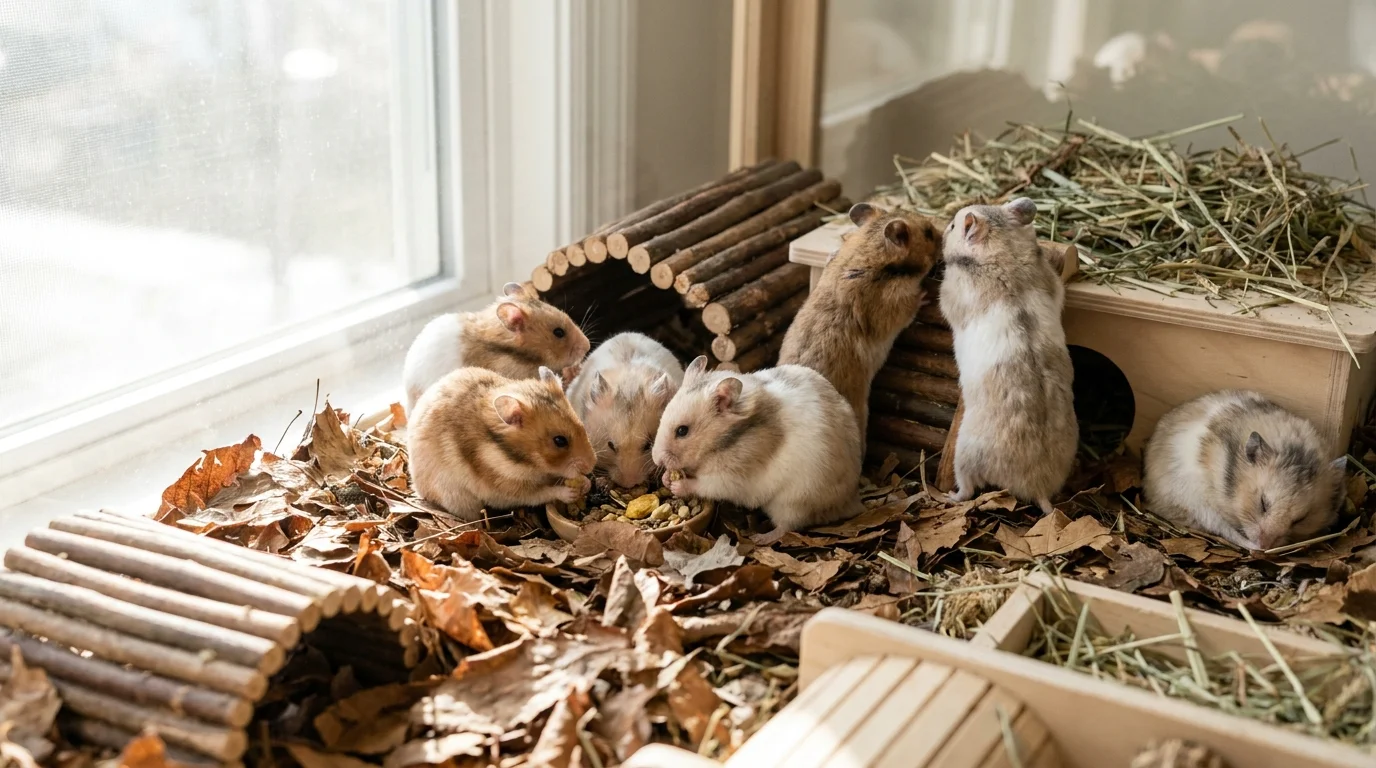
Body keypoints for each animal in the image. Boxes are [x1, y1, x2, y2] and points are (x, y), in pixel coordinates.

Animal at [408, 366, 596, 522]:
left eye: (582, 425)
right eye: (559, 440)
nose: (591, 466)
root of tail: (417, 490)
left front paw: (586, 483)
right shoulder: (506, 489)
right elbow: (543, 492)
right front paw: (570, 493)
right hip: (458, 499)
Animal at [651, 356, 863, 544]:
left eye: (682, 431)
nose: (656, 460)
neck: (720, 445)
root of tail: (850, 501)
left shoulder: (732, 478)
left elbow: (704, 485)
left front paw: (677, 486)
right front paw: (667, 478)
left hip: (793, 502)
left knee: (787, 526)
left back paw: (759, 538)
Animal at [779, 203, 941, 448]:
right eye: (929, 233)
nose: (943, 236)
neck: (865, 252)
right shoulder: (893, 303)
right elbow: (909, 306)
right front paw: (924, 295)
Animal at [940, 197, 1077, 515]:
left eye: (952, 226)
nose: (942, 232)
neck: (1005, 249)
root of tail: (1037, 486)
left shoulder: (951, 294)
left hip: (964, 455)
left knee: (968, 489)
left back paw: (948, 496)